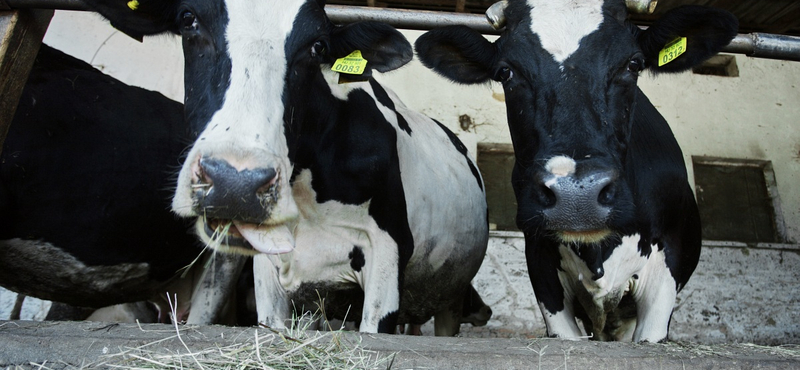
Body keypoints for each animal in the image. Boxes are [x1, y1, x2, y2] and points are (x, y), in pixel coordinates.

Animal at [81, 0, 490, 336]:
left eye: (318, 46)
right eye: (188, 19)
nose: (235, 184)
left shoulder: (387, 254)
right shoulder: (268, 274)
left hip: (451, 297)